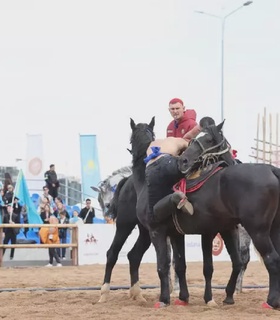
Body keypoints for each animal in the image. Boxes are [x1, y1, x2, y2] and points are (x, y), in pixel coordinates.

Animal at [99, 117, 243, 308]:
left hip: (143, 231)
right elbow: (196, 267)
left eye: (210, 140)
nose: (185, 161)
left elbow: (235, 262)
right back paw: (105, 293)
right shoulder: (200, 232)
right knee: (113, 253)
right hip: (126, 225)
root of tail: (127, 181)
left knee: (133, 256)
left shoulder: (226, 229)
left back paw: (137, 294)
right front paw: (204, 298)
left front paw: (225, 296)